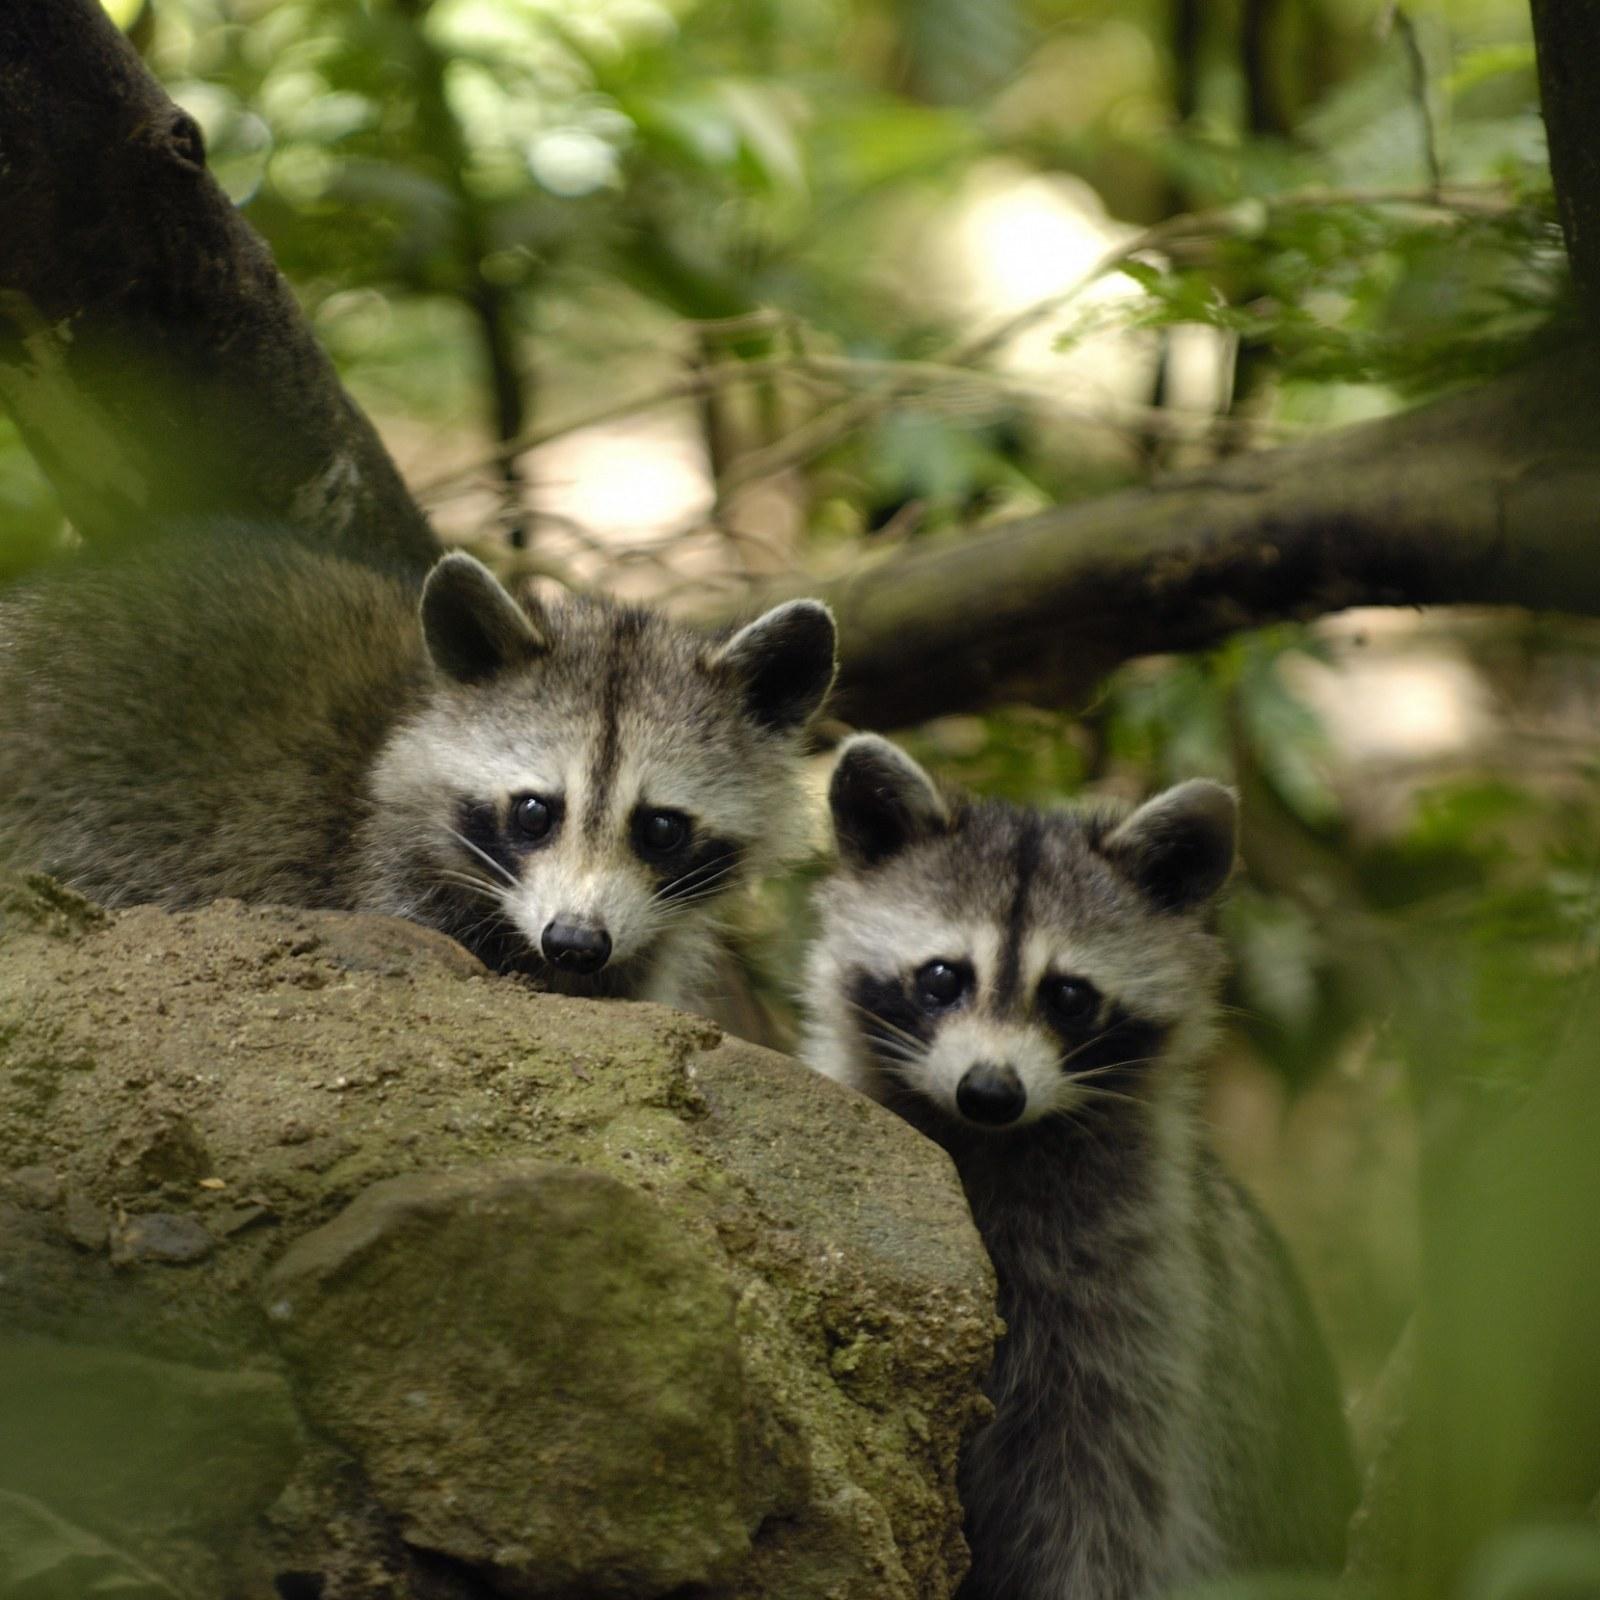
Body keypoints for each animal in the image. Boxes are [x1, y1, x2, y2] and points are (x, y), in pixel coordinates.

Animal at [802, 735, 1358, 1600]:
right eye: (942, 977)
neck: (993, 1142)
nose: (990, 1091)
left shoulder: (1140, 1308)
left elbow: (1105, 1504)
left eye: (1068, 996)